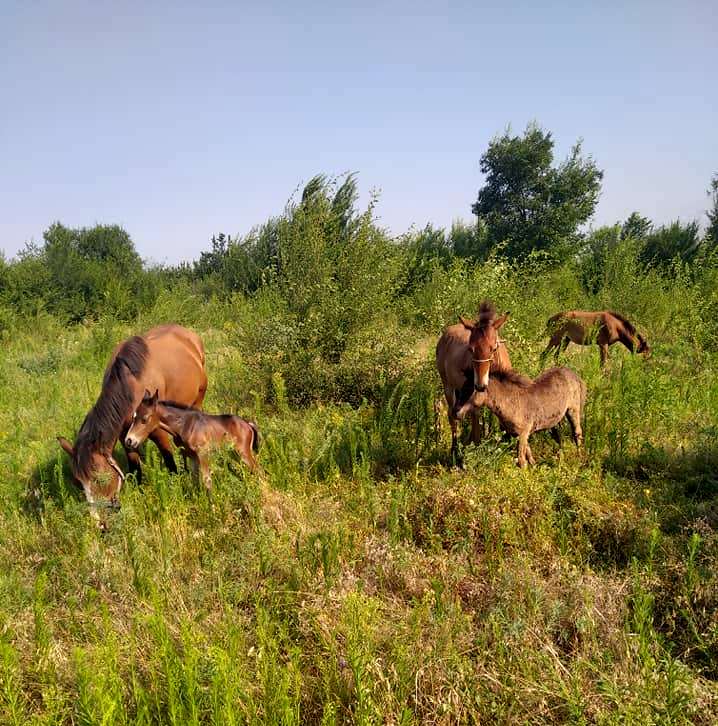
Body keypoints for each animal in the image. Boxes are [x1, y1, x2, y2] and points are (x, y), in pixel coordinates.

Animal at [436, 302, 516, 460]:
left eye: (494, 348)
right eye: (470, 349)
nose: (480, 385)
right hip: (448, 387)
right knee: (452, 415)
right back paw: (455, 451)